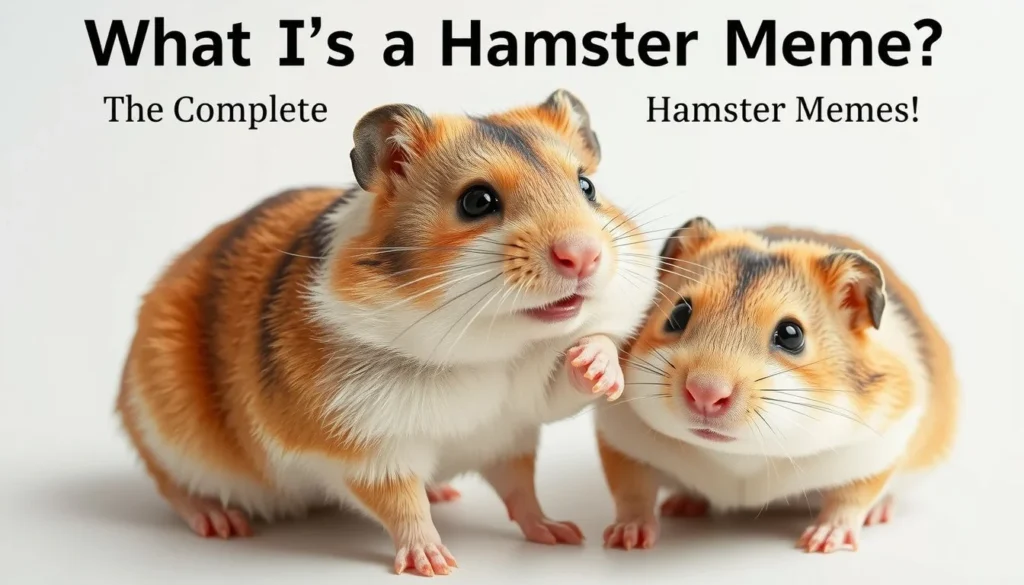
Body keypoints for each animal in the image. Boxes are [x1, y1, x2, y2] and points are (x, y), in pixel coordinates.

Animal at [115, 90, 659, 576]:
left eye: (587, 187)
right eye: (477, 201)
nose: (583, 256)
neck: (486, 351)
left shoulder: (512, 425)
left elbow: (524, 483)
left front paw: (562, 532)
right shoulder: (367, 441)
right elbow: (400, 501)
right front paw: (435, 564)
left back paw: (451, 492)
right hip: (164, 431)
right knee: (172, 484)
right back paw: (220, 522)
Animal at [595, 217, 958, 553]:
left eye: (791, 335)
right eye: (678, 315)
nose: (705, 393)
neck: (738, 457)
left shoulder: (879, 443)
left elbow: (851, 497)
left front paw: (820, 543)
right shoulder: (619, 438)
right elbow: (631, 488)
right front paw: (625, 539)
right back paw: (680, 505)